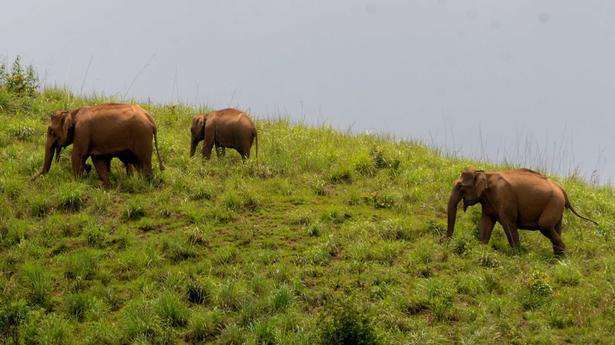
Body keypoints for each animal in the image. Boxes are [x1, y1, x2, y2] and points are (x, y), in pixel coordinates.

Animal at [32, 103, 165, 187]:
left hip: (142, 137)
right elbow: (98, 159)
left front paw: (76, 182)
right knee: (138, 163)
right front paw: (106, 186)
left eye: (51, 131)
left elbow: (77, 155)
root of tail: (151, 120)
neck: (73, 112)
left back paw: (148, 184)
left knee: (144, 163)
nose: (30, 180)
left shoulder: (82, 131)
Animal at [448, 168, 596, 254]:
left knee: (545, 225)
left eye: (460, 185)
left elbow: (508, 223)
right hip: (557, 207)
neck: (485, 174)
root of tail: (562, 189)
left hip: (554, 203)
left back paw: (563, 256)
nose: (447, 241)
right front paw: (482, 248)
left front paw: (517, 254)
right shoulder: (488, 203)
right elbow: (486, 222)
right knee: (556, 228)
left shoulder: (505, 198)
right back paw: (559, 259)